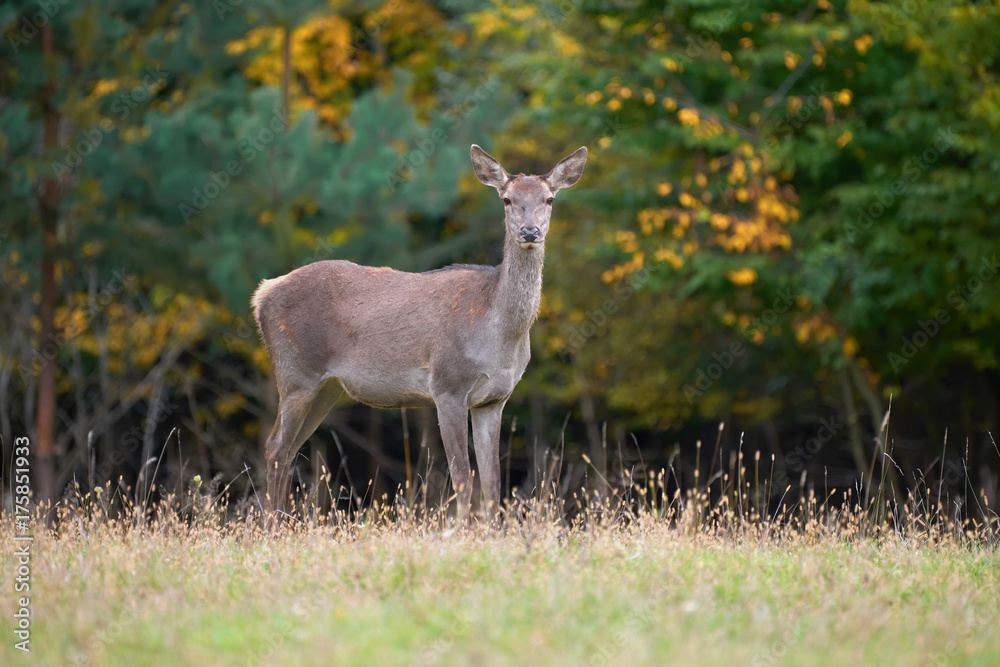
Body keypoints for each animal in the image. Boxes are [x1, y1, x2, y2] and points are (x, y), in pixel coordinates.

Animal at [250, 145, 588, 528]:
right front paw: (461, 532)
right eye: (507, 199)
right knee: (275, 447)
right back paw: (272, 529)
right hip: (295, 374)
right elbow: (462, 476)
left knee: (290, 449)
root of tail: (262, 295)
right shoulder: (447, 386)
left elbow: (493, 481)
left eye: (549, 198)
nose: (530, 232)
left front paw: (491, 533)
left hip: (327, 387)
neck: (500, 338)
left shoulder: (494, 399)